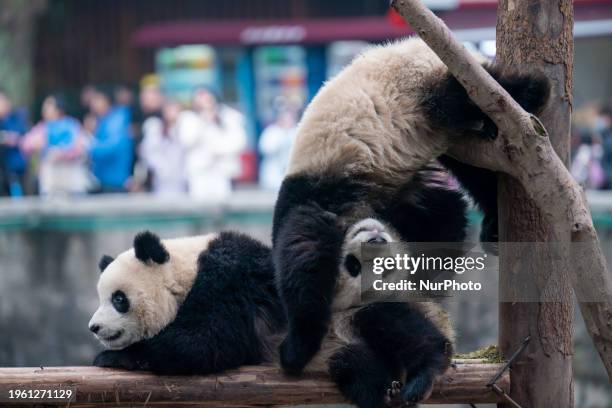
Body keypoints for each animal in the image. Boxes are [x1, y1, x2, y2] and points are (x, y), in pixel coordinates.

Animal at [89, 231, 286, 374]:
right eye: (101, 299)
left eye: (118, 298)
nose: (94, 327)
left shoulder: (228, 282)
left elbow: (200, 343)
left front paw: (108, 357)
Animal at [272, 36, 548, 374]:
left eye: (353, 265)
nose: (376, 245)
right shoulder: (396, 199)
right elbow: (438, 220)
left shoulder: (318, 196)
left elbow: (303, 251)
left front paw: (296, 349)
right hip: (447, 133)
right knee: (474, 164)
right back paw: (493, 227)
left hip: (423, 80)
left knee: (471, 95)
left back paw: (533, 91)